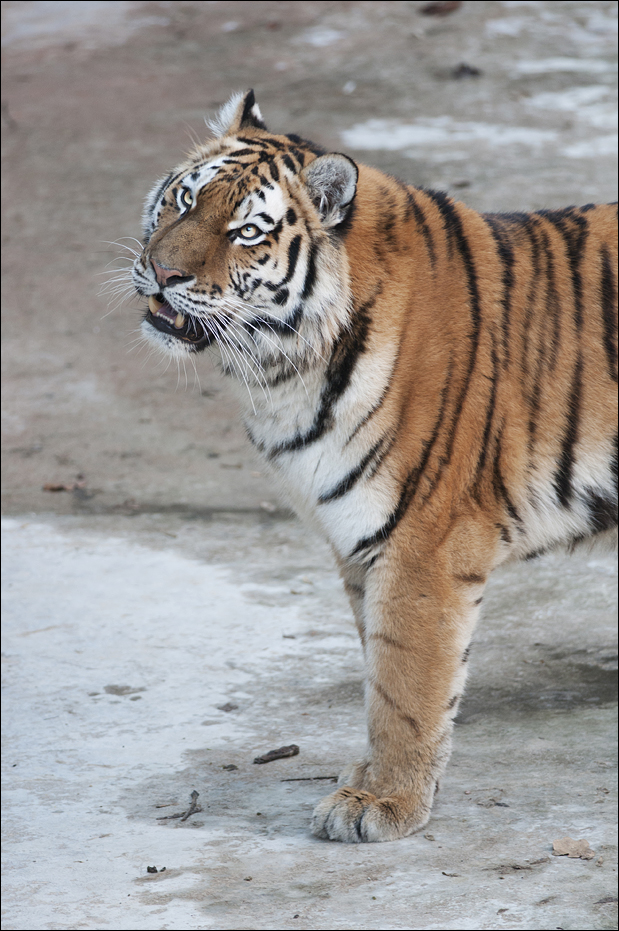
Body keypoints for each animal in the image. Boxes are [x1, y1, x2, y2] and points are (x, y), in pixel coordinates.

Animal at [130, 90, 618, 843]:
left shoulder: (423, 543)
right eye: (183, 200)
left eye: (246, 231)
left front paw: (382, 801)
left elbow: (406, 682)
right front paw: (373, 779)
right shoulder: (358, 540)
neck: (285, 372)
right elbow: (378, 667)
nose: (161, 273)